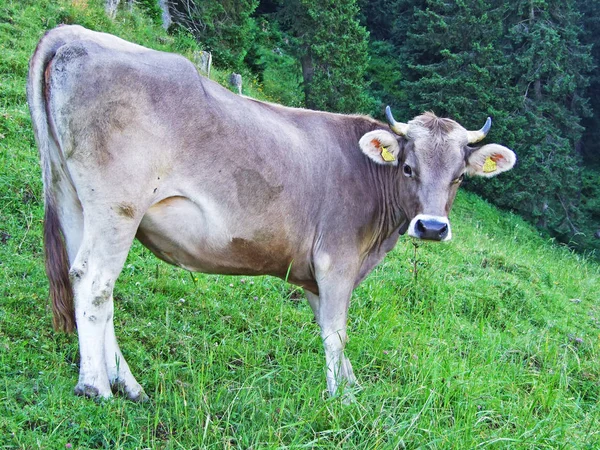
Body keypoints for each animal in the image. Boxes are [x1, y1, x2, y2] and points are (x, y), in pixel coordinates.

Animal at [28, 25, 516, 400]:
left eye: (459, 177)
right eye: (409, 167)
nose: (432, 227)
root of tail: (78, 34)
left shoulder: (315, 274)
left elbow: (331, 331)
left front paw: (354, 391)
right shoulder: (336, 260)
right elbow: (336, 332)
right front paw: (338, 400)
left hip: (72, 199)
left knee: (87, 281)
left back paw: (128, 385)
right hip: (118, 207)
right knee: (95, 282)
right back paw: (95, 386)